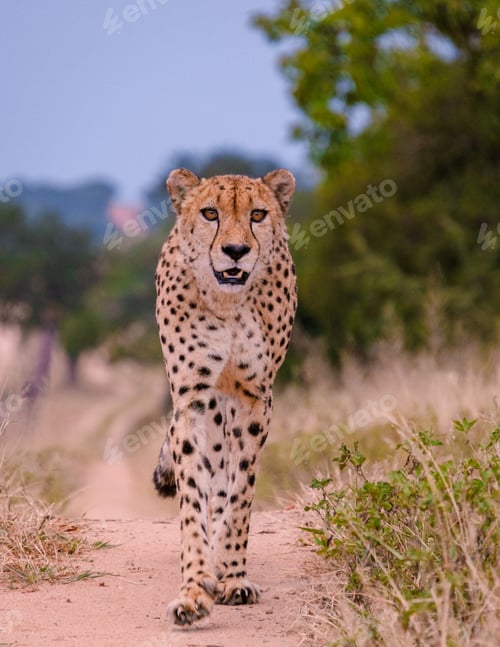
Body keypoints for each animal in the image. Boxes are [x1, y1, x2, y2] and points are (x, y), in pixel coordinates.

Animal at [153, 167, 297, 626]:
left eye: (257, 214)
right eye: (210, 213)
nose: (235, 251)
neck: (228, 303)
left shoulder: (255, 399)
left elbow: (240, 495)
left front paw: (231, 575)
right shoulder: (192, 399)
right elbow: (193, 498)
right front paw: (194, 588)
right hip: (214, 407)